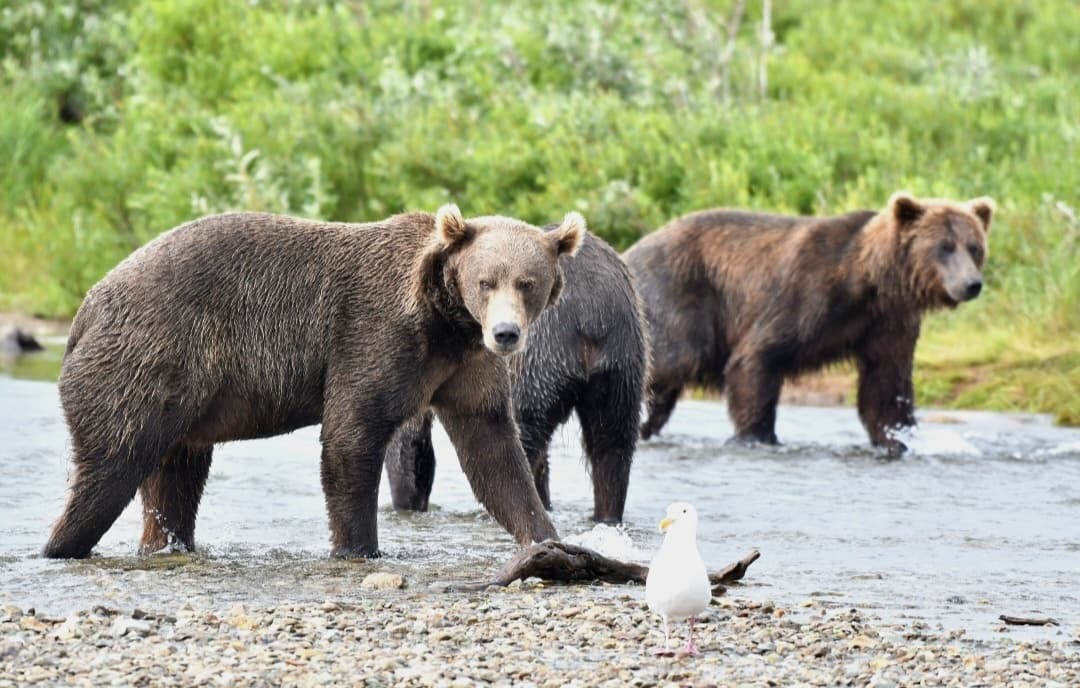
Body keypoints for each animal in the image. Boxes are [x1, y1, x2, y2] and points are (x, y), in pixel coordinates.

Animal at [43, 204, 584, 559]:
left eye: (528, 283)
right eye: (485, 281)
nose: (506, 333)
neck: (444, 323)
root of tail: (85, 308)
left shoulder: (466, 367)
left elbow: (493, 451)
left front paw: (547, 539)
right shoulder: (374, 335)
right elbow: (351, 436)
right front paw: (359, 547)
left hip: (181, 399)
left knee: (173, 479)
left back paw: (167, 543)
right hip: (146, 358)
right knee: (110, 468)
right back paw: (61, 545)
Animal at [384, 228, 648, 523]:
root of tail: (589, 314)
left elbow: (408, 440)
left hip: (538, 357)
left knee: (520, 441)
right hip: (621, 364)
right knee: (612, 444)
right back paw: (605, 513)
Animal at [624, 192, 994, 454]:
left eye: (974, 247)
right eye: (944, 247)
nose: (971, 284)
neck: (869, 283)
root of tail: (630, 250)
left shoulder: (888, 324)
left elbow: (886, 387)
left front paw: (899, 439)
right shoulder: (807, 295)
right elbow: (756, 359)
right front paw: (757, 435)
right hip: (678, 297)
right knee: (672, 360)